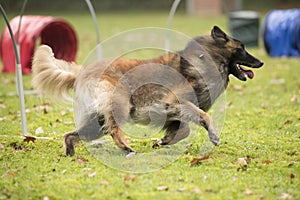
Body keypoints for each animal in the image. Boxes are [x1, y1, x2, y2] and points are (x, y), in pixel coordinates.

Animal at [31, 25, 264, 156]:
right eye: (242, 48)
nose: (261, 62)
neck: (205, 60)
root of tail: (82, 70)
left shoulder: (173, 112)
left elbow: (183, 130)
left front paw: (163, 141)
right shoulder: (175, 101)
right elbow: (204, 117)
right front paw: (214, 136)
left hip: (96, 123)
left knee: (70, 135)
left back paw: (70, 153)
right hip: (119, 107)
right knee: (115, 130)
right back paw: (127, 149)